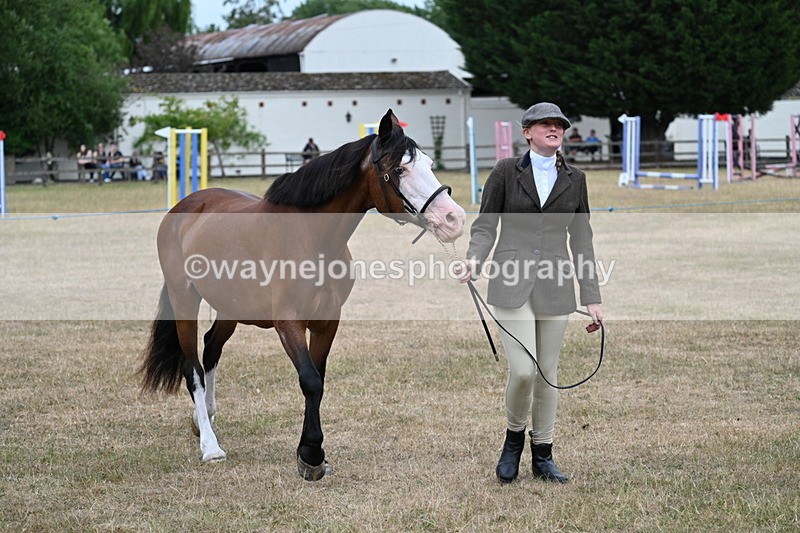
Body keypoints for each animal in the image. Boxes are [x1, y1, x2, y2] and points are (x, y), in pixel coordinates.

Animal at [139, 109, 466, 480]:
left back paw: (203, 417)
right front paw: (311, 454)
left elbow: (318, 379)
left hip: (230, 307)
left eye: (428, 163)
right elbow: (309, 380)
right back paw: (210, 446)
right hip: (185, 299)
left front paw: (311, 453)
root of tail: (186, 206)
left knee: (211, 349)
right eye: (400, 170)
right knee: (192, 367)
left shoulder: (327, 322)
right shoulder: (288, 323)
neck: (310, 237)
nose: (454, 219)